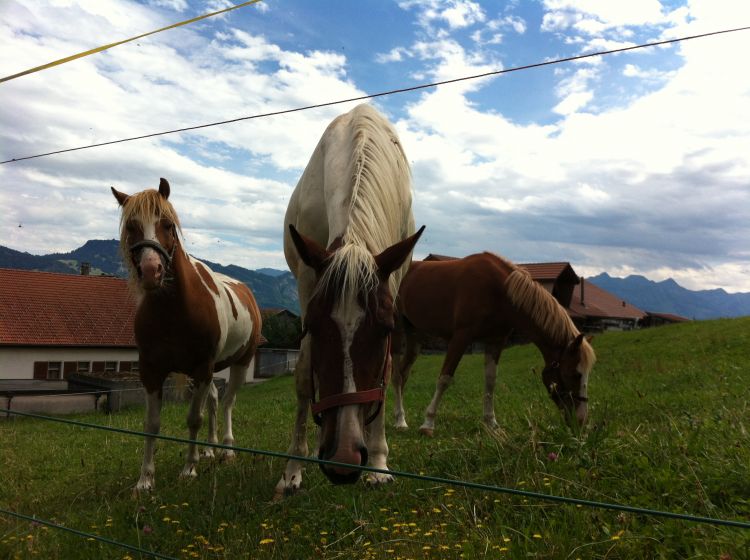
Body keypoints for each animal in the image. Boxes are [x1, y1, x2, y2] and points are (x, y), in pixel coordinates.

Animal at [110, 178, 264, 490]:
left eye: (168, 224)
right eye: (131, 226)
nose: (151, 271)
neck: (176, 309)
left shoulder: (202, 367)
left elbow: (194, 418)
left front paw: (189, 468)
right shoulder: (151, 371)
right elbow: (152, 423)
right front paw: (145, 479)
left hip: (239, 363)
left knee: (227, 402)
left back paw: (226, 449)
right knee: (215, 400)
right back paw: (210, 449)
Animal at [280, 105, 426, 498]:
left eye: (385, 328)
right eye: (314, 326)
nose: (343, 459)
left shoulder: (392, 280)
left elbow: (386, 372)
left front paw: (379, 461)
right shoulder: (307, 279)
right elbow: (303, 375)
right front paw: (293, 469)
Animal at [394, 254, 600, 438]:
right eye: (575, 374)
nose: (581, 421)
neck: (499, 290)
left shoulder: (495, 341)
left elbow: (491, 381)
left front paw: (491, 423)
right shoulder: (460, 337)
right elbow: (445, 378)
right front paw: (428, 423)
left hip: (415, 335)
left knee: (403, 372)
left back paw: (401, 418)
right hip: (396, 331)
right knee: (396, 374)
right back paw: (399, 422)